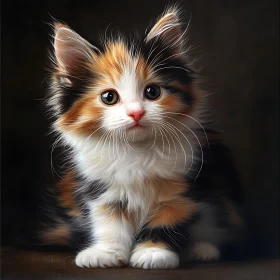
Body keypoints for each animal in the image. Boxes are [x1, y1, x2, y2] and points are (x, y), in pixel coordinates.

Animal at [39, 5, 243, 270]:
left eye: (152, 92)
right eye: (109, 97)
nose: (136, 112)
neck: (135, 150)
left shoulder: (181, 186)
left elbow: (167, 220)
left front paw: (153, 253)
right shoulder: (102, 189)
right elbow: (110, 223)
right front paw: (107, 253)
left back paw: (203, 249)